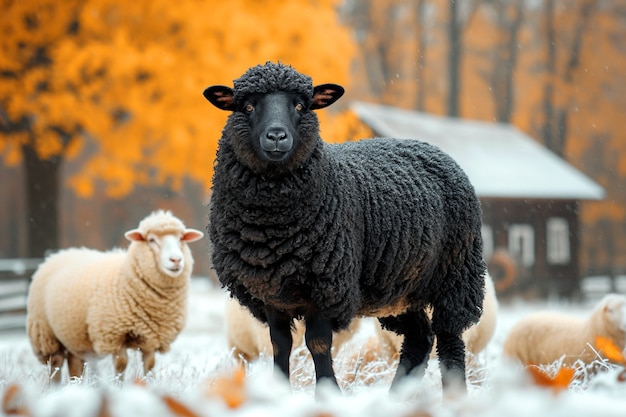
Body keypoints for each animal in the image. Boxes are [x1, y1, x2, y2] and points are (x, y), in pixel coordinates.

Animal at [25, 210, 202, 382]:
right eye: (151, 240)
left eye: (180, 239)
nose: (176, 260)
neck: (126, 278)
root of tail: (58, 254)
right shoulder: (113, 336)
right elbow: (121, 365)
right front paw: (118, 386)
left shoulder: (152, 338)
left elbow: (150, 366)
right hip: (46, 336)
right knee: (55, 366)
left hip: (74, 337)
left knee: (74, 365)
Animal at [202, 61, 486, 394]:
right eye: (247, 105)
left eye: (301, 105)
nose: (276, 136)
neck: (270, 230)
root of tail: (429, 147)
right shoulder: (270, 292)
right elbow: (280, 345)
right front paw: (280, 392)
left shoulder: (327, 285)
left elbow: (318, 343)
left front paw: (328, 393)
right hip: (399, 289)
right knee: (419, 338)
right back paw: (395, 397)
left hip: (456, 274)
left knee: (450, 340)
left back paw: (454, 396)